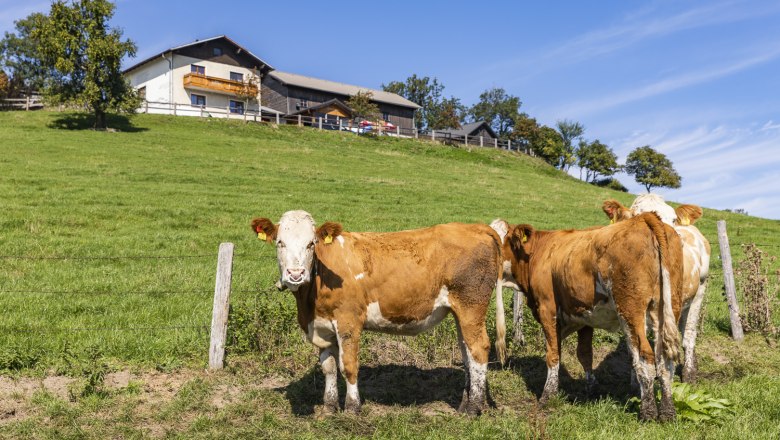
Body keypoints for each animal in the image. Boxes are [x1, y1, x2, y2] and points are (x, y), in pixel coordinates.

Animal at [250, 211, 506, 414]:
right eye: (280, 243)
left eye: (311, 244)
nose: (295, 274)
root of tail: (477, 227)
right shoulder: (321, 327)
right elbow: (329, 368)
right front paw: (329, 407)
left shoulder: (349, 322)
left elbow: (348, 366)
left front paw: (352, 408)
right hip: (460, 312)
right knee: (466, 352)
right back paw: (465, 404)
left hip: (471, 305)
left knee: (479, 349)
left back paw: (473, 409)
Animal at [490, 214, 684, 422]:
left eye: (498, 242)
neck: (536, 253)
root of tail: (643, 219)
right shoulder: (583, 315)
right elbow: (584, 354)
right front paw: (592, 388)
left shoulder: (547, 309)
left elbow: (552, 354)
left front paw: (548, 395)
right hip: (667, 307)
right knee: (665, 361)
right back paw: (668, 412)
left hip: (630, 311)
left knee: (645, 358)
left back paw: (648, 412)